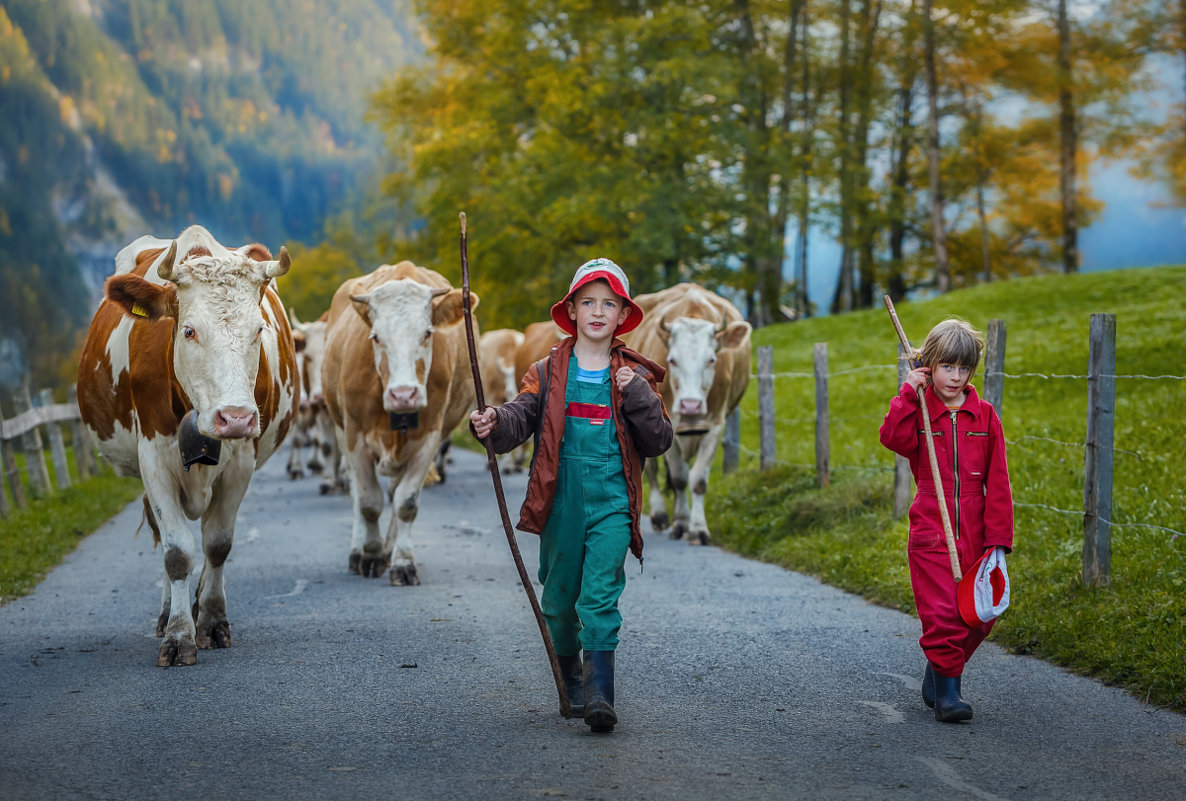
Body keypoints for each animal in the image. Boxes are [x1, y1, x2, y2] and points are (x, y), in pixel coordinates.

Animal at [76, 224, 298, 664]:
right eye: (189, 330)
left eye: (259, 330)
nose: (236, 417)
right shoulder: (152, 459)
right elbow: (176, 552)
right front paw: (179, 634)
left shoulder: (241, 461)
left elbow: (218, 544)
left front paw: (210, 621)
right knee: (163, 537)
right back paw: (168, 613)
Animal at [324, 261, 476, 583]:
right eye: (376, 337)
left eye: (428, 332)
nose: (404, 395)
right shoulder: (355, 437)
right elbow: (368, 502)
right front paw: (369, 554)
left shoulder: (429, 438)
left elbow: (405, 503)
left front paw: (402, 561)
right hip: (340, 429)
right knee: (355, 492)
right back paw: (359, 550)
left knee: (395, 493)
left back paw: (389, 548)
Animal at [621, 282, 749, 545]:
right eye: (672, 360)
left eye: (712, 359)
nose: (691, 405)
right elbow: (680, 477)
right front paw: (681, 523)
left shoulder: (715, 425)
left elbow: (698, 480)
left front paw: (698, 528)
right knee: (651, 471)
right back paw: (660, 515)